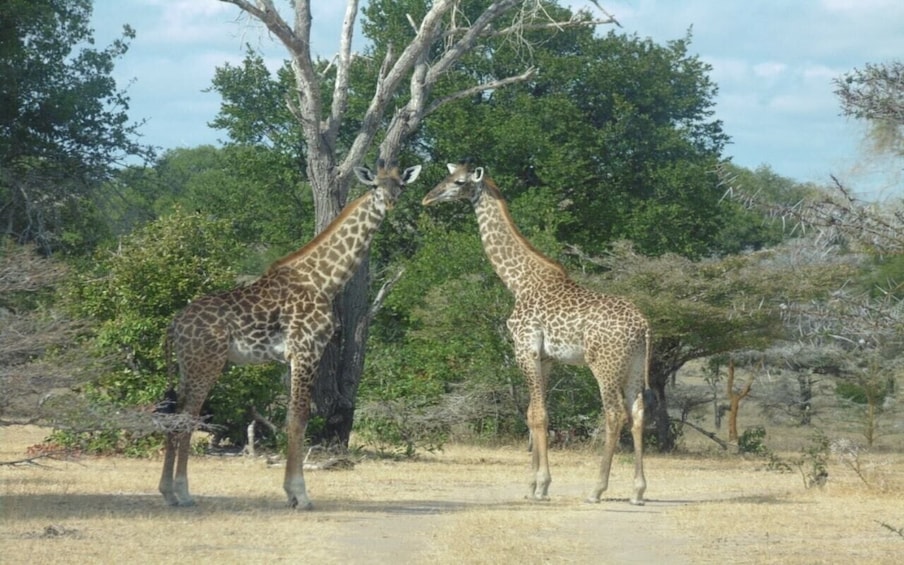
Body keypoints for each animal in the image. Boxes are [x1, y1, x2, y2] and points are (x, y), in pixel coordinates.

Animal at [158, 158, 420, 506]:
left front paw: (292, 492)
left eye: (400, 185)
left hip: (187, 366)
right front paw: (299, 495)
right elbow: (298, 419)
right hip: (206, 363)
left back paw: (168, 491)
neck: (324, 280)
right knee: (188, 416)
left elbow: (293, 419)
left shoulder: (294, 356)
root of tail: (174, 324)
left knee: (176, 415)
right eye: (376, 186)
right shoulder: (306, 350)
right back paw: (184, 492)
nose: (390, 202)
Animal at [420, 161, 652, 504]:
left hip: (604, 364)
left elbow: (538, 415)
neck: (518, 281)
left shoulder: (525, 348)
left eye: (459, 182)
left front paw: (541, 485)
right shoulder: (546, 358)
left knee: (613, 414)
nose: (428, 198)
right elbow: (534, 413)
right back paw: (638, 490)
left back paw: (596, 490)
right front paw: (533, 484)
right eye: (446, 176)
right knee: (638, 413)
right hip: (635, 364)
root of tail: (643, 326)